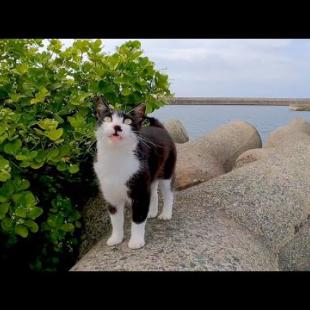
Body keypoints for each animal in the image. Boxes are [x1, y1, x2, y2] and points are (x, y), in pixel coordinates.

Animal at [93, 97, 177, 249]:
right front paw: (116, 238)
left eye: (127, 121)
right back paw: (151, 212)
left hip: (167, 170)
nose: (117, 127)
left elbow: (138, 218)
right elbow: (115, 220)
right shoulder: (110, 194)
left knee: (168, 193)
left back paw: (166, 214)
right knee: (154, 193)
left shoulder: (140, 191)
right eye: (107, 118)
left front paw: (136, 241)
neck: (116, 158)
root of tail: (159, 127)